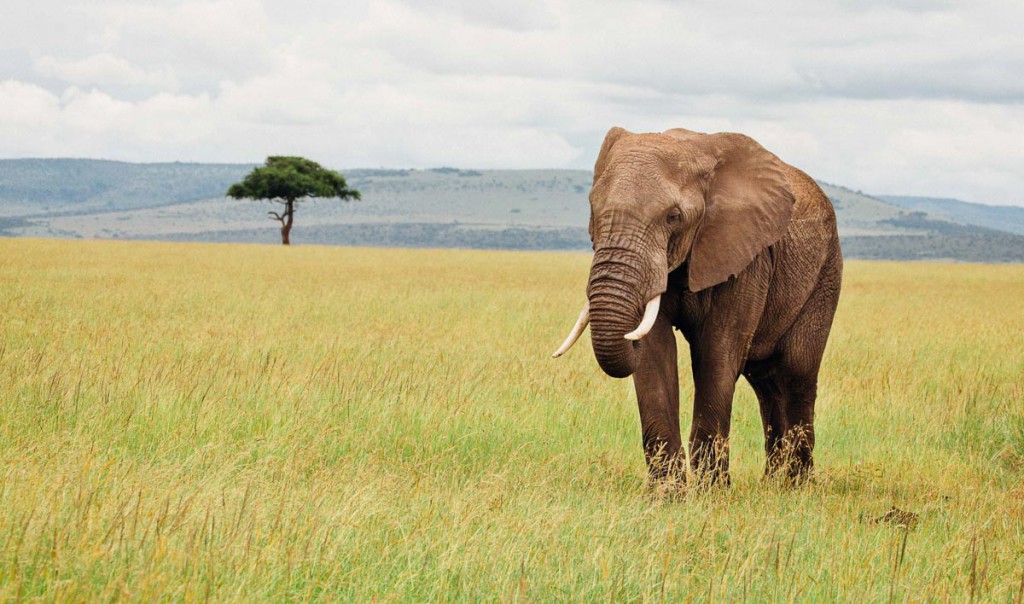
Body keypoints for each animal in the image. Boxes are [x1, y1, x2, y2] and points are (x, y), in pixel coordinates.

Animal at [553, 126, 842, 486]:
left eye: (673, 217)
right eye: (593, 210)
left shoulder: (746, 256)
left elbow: (717, 352)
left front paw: (711, 493)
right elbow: (655, 352)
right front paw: (667, 494)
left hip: (825, 273)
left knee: (796, 371)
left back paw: (795, 487)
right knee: (766, 380)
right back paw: (773, 484)